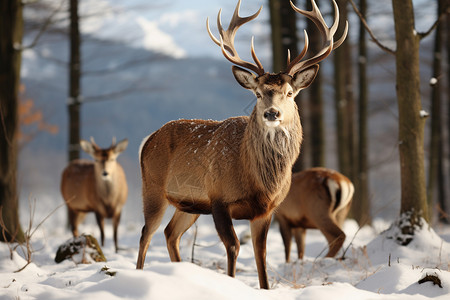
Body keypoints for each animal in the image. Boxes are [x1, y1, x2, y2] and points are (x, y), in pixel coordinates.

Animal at [136, 0, 348, 290]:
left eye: (289, 93)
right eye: (257, 94)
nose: (272, 113)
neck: (259, 182)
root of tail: (148, 140)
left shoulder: (267, 211)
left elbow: (262, 254)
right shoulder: (218, 198)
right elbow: (234, 246)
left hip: (189, 204)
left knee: (170, 234)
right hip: (153, 188)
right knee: (146, 234)